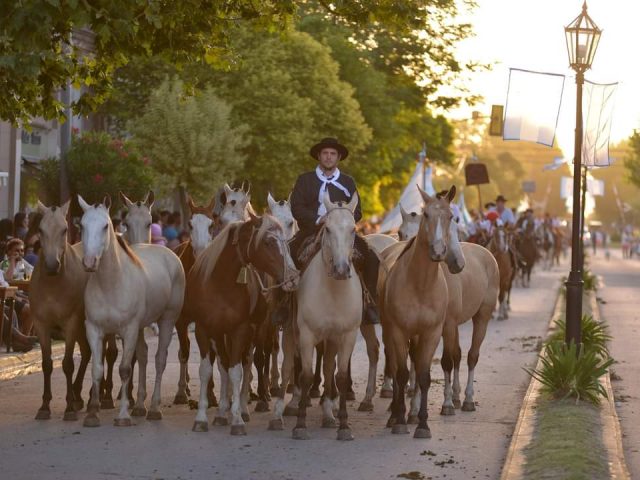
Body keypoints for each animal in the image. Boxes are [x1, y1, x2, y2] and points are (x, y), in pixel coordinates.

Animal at [30, 202, 91, 420]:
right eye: (40, 229)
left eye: (64, 230)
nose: (51, 265)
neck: (53, 286)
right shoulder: (41, 325)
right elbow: (47, 364)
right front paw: (44, 407)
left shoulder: (70, 323)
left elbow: (67, 364)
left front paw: (69, 408)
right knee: (88, 352)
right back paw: (78, 395)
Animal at [78, 195, 185, 428]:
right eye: (81, 225)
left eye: (105, 226)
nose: (89, 262)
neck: (111, 284)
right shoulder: (94, 329)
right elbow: (97, 369)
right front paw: (92, 413)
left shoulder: (129, 330)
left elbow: (125, 369)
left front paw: (123, 415)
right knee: (144, 356)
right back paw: (140, 407)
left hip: (167, 319)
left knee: (159, 359)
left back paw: (153, 408)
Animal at [188, 214, 300, 436]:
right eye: (267, 242)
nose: (292, 277)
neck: (219, 283)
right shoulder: (204, 330)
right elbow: (207, 370)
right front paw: (202, 418)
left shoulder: (240, 330)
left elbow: (237, 371)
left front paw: (238, 419)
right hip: (221, 335)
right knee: (224, 364)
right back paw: (222, 412)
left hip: (255, 331)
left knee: (247, 362)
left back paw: (242, 408)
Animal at [268, 192, 362, 442]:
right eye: (327, 229)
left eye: (353, 230)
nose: (341, 269)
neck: (333, 291)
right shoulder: (307, 335)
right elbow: (306, 375)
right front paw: (300, 425)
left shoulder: (346, 336)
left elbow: (340, 376)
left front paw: (344, 425)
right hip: (290, 332)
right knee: (288, 368)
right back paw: (277, 415)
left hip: (330, 340)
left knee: (328, 369)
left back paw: (328, 415)